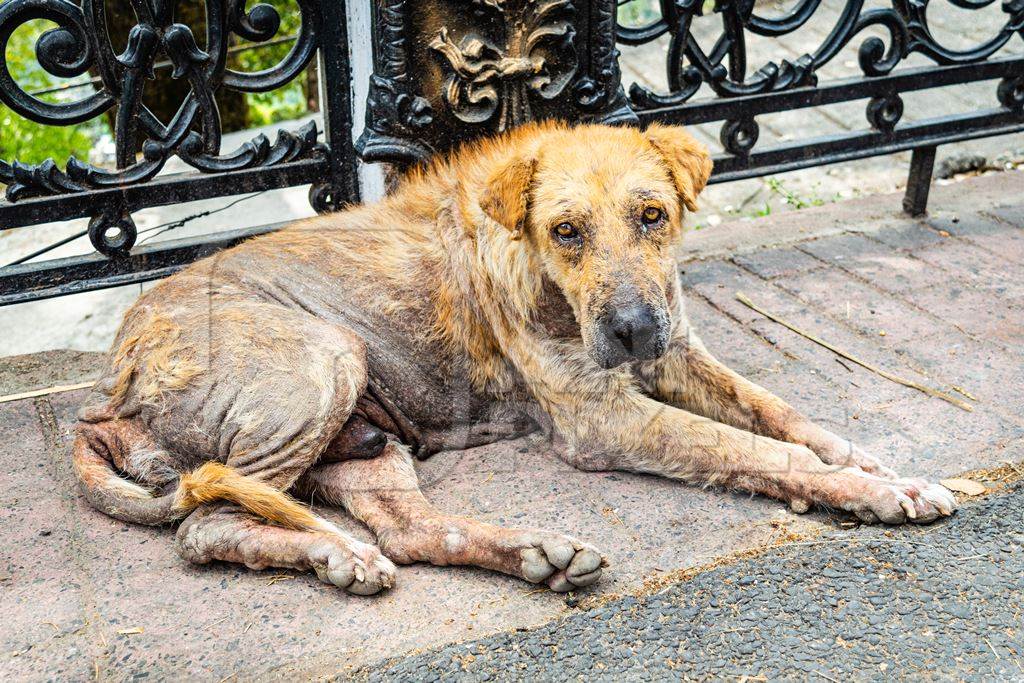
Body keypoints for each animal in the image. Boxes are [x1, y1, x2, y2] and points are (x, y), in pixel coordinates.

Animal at [70, 121, 950, 593]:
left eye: (653, 214)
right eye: (566, 230)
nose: (633, 329)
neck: (549, 281)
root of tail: (107, 392)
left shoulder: (679, 354)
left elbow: (780, 411)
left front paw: (871, 464)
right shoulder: (605, 418)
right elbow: (755, 448)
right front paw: (867, 489)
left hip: (369, 442)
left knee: (405, 531)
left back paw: (531, 553)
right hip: (322, 360)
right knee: (206, 524)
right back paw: (335, 551)